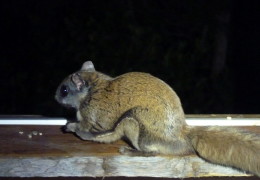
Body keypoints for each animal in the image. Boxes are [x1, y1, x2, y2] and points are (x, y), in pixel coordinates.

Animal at [55, 60, 260, 176]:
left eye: (64, 90)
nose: (55, 97)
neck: (93, 89)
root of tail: (181, 136)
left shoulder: (94, 116)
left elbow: (91, 130)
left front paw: (72, 127)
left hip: (134, 123)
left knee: (150, 151)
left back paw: (132, 151)